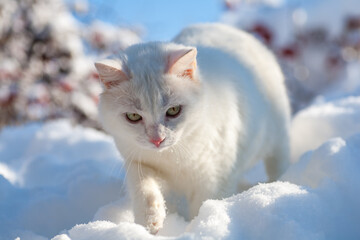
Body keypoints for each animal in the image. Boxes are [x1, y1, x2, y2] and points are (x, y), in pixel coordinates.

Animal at [95, 23, 290, 233]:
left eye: (173, 110)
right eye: (133, 117)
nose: (157, 139)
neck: (173, 156)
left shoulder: (214, 179)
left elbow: (203, 206)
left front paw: (198, 228)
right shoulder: (137, 161)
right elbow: (143, 188)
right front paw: (150, 222)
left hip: (278, 139)